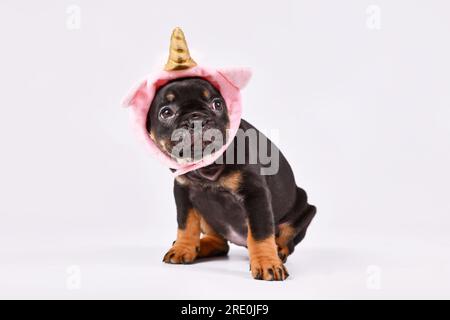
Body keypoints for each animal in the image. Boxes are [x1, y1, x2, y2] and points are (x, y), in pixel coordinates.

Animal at [148, 77, 316, 280]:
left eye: (217, 104)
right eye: (166, 112)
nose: (197, 119)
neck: (208, 167)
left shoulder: (255, 194)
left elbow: (260, 232)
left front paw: (267, 262)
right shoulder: (182, 191)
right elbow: (185, 224)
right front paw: (183, 247)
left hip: (305, 209)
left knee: (286, 237)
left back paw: (278, 250)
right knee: (219, 242)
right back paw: (200, 247)